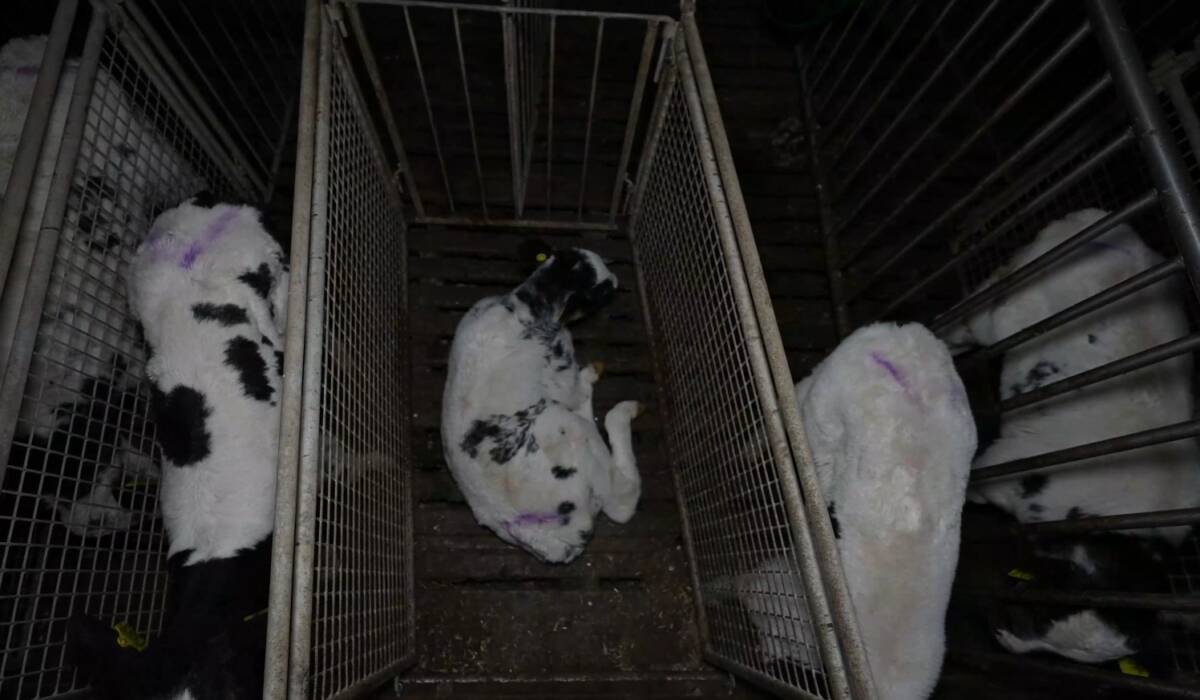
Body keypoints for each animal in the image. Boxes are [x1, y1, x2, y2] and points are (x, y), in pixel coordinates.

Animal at [441, 246, 643, 564]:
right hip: (572, 432)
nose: (615, 279)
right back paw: (622, 411)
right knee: (622, 503)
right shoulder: (561, 368)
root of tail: (545, 537)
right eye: (602, 291)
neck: (527, 305)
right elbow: (574, 390)